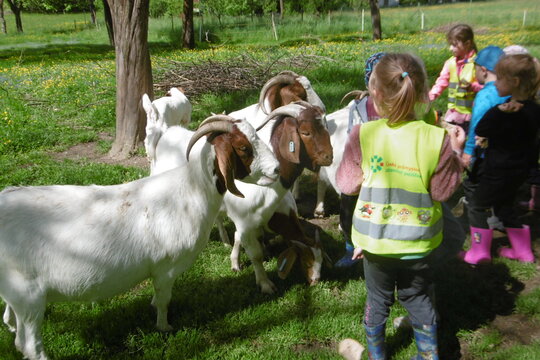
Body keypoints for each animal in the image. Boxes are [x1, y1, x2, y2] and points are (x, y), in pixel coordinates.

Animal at [0, 115, 278, 360]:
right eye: (243, 147)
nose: (276, 169)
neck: (189, 192)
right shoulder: (166, 267)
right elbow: (165, 299)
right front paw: (164, 327)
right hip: (29, 296)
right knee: (28, 345)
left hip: (17, 295)